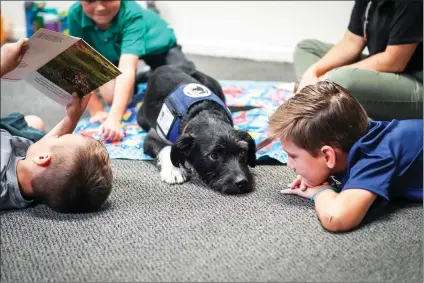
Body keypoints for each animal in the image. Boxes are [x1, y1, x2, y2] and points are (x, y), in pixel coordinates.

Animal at [137, 65, 255, 194]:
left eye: (242, 151)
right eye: (214, 156)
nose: (242, 182)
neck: (204, 113)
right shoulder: (152, 136)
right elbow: (167, 148)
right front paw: (174, 171)